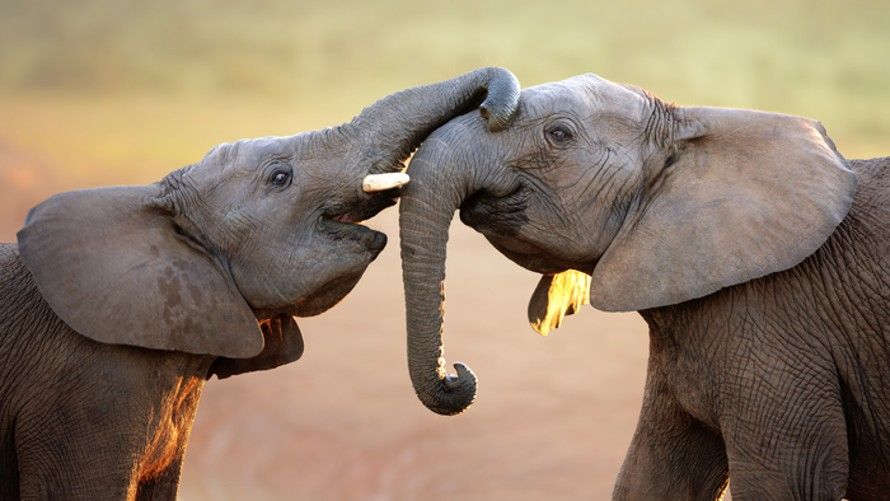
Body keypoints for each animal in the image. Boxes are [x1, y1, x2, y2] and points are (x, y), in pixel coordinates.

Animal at [398, 72, 888, 498]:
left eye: (559, 134)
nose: (458, 374)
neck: (690, 128)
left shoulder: (776, 323)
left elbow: (789, 482)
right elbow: (651, 477)